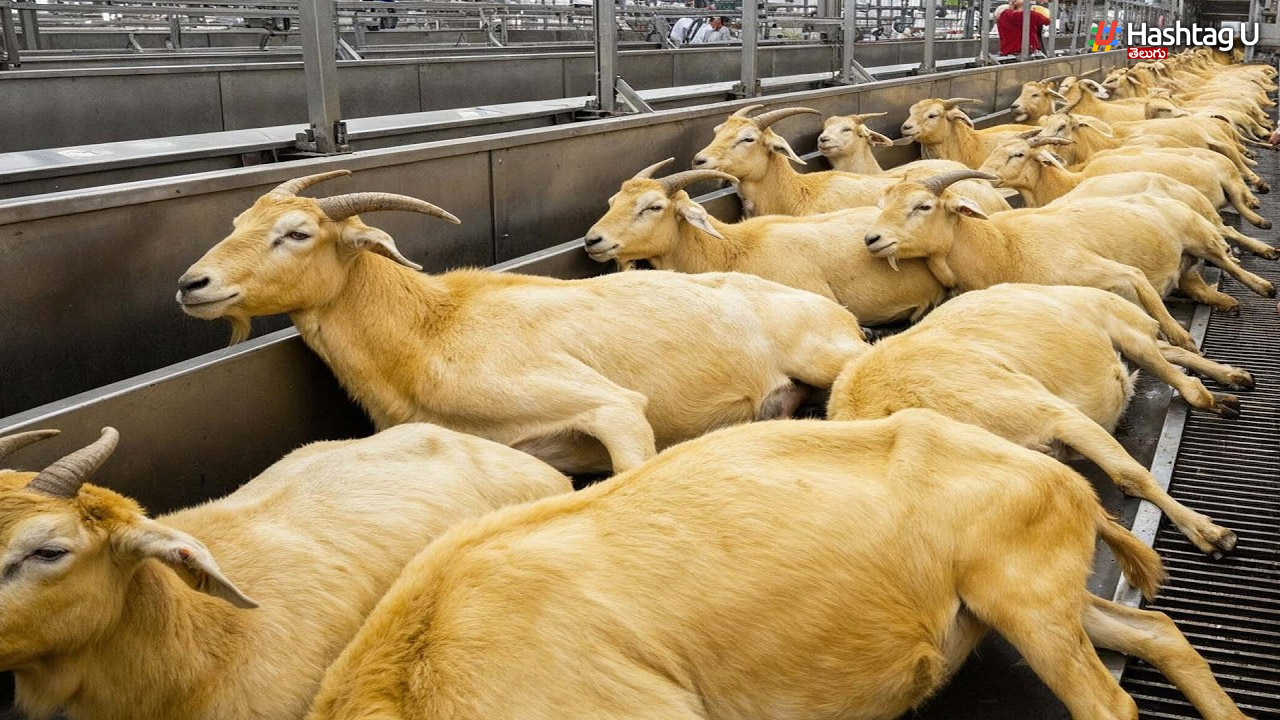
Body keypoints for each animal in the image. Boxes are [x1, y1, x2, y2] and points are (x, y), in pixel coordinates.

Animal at [177, 171, 869, 475]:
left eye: (297, 233)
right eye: (236, 224)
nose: (191, 284)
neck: (431, 330)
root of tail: (836, 313)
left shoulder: (610, 407)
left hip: (826, 353)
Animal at [828, 283, 1248, 555]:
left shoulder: (1058, 414)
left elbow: (1131, 475)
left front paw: (1209, 532)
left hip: (1126, 329)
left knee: (1179, 375)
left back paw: (1221, 388)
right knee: (1173, 357)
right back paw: (1231, 381)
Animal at [861, 170, 1276, 351]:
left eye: (923, 206)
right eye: (883, 204)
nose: (871, 239)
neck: (1004, 249)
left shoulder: (1111, 271)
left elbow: (1150, 298)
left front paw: (1184, 341)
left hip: (1199, 233)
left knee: (1225, 252)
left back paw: (1263, 277)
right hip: (1186, 261)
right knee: (1198, 283)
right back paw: (1227, 300)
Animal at [978, 134, 1279, 260]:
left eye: (1018, 154)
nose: (985, 174)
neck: (1067, 182)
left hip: (1224, 185)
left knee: (1233, 217)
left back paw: (1262, 228)